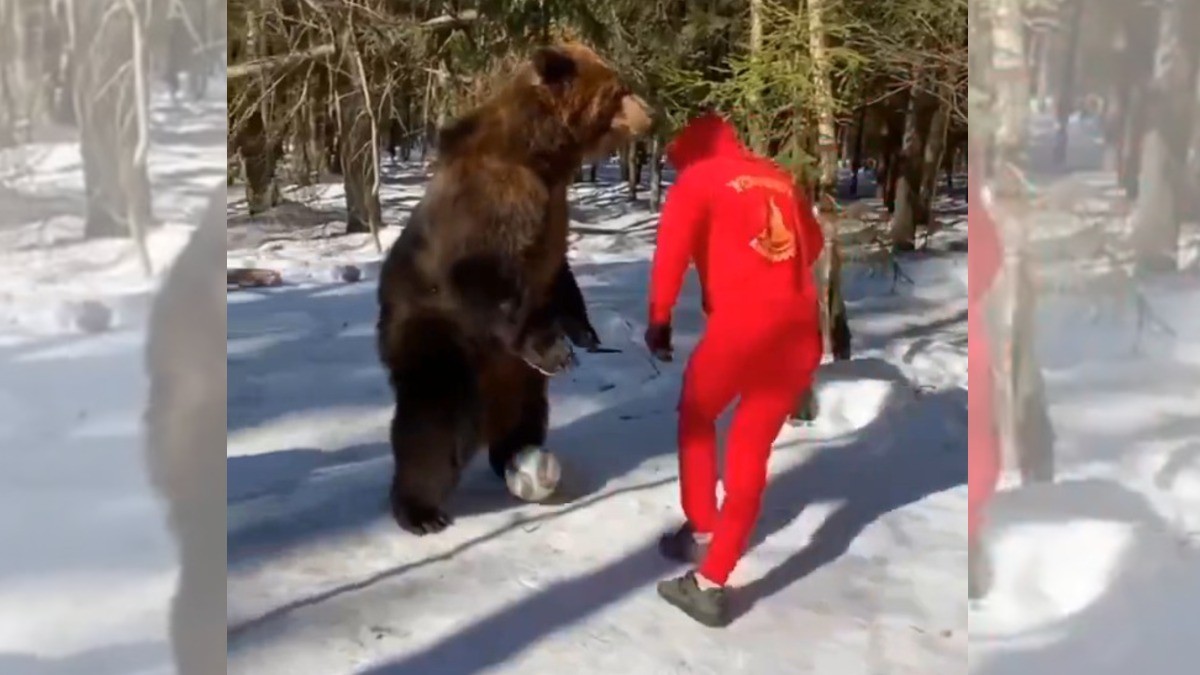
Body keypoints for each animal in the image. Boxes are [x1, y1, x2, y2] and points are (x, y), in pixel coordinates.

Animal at [377, 42, 652, 534]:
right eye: (619, 90)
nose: (650, 114)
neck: (543, 157)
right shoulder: (495, 207)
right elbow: (487, 277)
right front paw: (554, 349)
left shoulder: (553, 214)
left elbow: (558, 274)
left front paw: (584, 331)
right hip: (439, 336)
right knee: (434, 419)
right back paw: (420, 510)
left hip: (515, 378)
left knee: (524, 416)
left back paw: (515, 456)